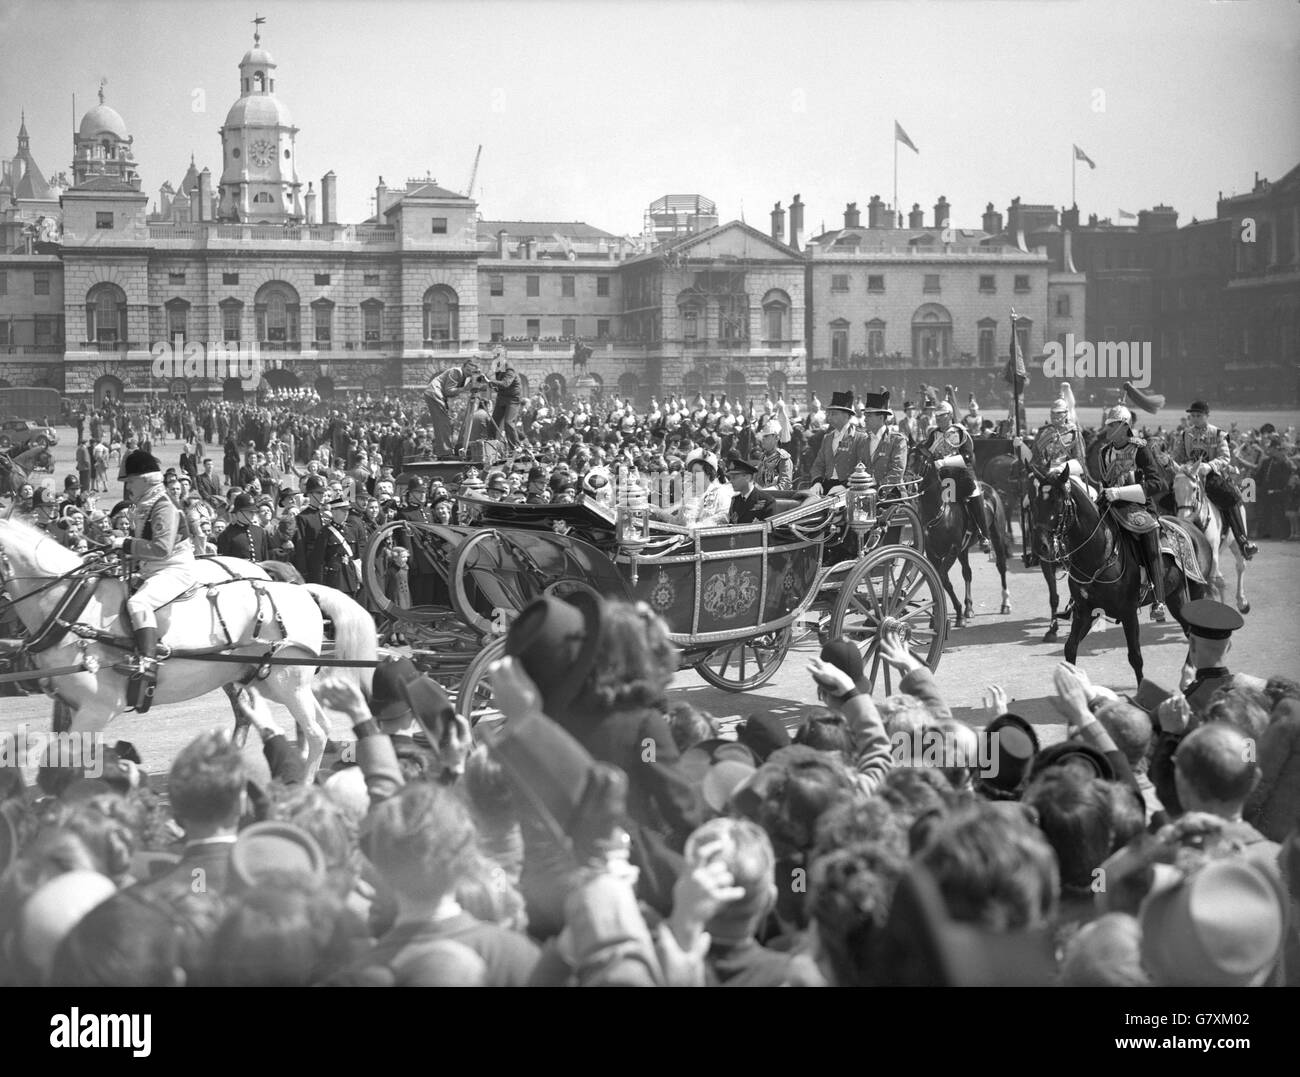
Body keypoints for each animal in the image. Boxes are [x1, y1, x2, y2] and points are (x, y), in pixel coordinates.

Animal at [0, 517, 377, 780]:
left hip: (286, 682)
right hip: (265, 680)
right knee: (309, 725)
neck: (72, 604)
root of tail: (300, 589)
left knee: (315, 732)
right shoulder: (72, 706)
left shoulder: (97, 708)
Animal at [909, 442, 1008, 632]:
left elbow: (942, 579)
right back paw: (969, 608)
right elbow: (940, 580)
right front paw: (940, 616)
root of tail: (989, 489)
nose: (909, 485)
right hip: (964, 550)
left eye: (922, 460)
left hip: (997, 536)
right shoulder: (933, 553)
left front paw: (957, 614)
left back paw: (1005, 603)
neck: (940, 512)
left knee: (1001, 566)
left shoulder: (952, 550)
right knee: (967, 573)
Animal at [1029, 468, 1211, 686]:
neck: (1098, 553)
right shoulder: (1085, 612)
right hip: (1176, 596)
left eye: (1057, 501)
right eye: (1035, 502)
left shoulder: (1128, 613)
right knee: (1190, 632)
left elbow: (1135, 657)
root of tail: (1192, 527)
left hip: (1196, 590)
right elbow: (1070, 648)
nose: (1040, 546)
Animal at [1170, 463, 1248, 613]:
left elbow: (1209, 585)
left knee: (1240, 566)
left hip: (1235, 543)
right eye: (1174, 489)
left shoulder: (1213, 555)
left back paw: (1242, 601)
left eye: (1194, 488)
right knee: (1220, 580)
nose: (1183, 518)